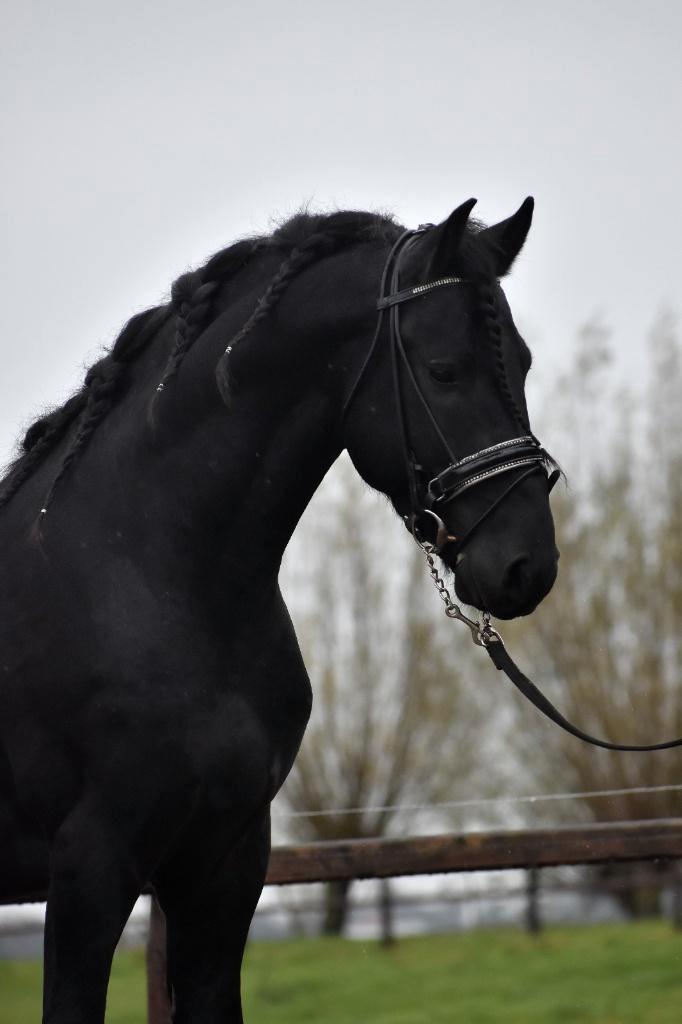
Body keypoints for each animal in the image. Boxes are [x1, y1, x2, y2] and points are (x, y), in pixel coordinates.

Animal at [0, 198, 559, 1022]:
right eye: (443, 370)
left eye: (519, 364)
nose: (527, 566)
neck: (140, 570)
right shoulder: (89, 871)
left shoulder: (224, 866)